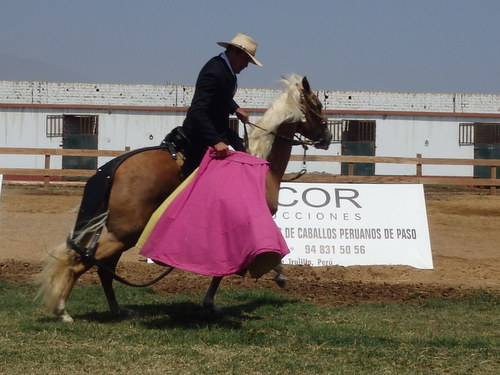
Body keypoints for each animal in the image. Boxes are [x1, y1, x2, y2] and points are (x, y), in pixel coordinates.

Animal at [38, 74, 332, 324]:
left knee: (102, 268)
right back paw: (63, 311)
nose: (328, 137)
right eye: (317, 104)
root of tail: (115, 166)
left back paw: (118, 310)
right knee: (82, 263)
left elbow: (221, 267)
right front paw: (278, 275)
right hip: (125, 233)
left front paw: (211, 302)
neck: (260, 164)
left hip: (119, 234)